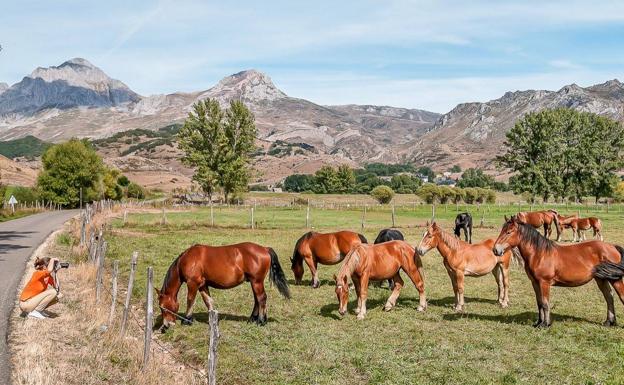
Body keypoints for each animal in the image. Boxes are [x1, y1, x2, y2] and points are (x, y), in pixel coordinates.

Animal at [157, 242, 292, 328]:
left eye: (162, 307)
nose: (166, 325)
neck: (188, 260)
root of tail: (264, 248)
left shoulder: (193, 283)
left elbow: (190, 300)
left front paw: (187, 320)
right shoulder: (202, 285)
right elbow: (208, 301)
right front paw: (212, 320)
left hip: (257, 282)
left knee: (262, 298)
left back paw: (261, 321)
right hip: (254, 283)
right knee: (257, 300)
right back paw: (252, 319)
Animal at [492, 216, 624, 328]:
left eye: (509, 232)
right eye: (502, 230)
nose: (495, 250)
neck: (539, 254)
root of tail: (612, 247)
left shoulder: (544, 283)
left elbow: (545, 303)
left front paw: (545, 324)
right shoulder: (535, 283)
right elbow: (539, 303)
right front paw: (538, 323)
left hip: (615, 280)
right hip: (601, 279)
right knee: (609, 298)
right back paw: (609, 322)